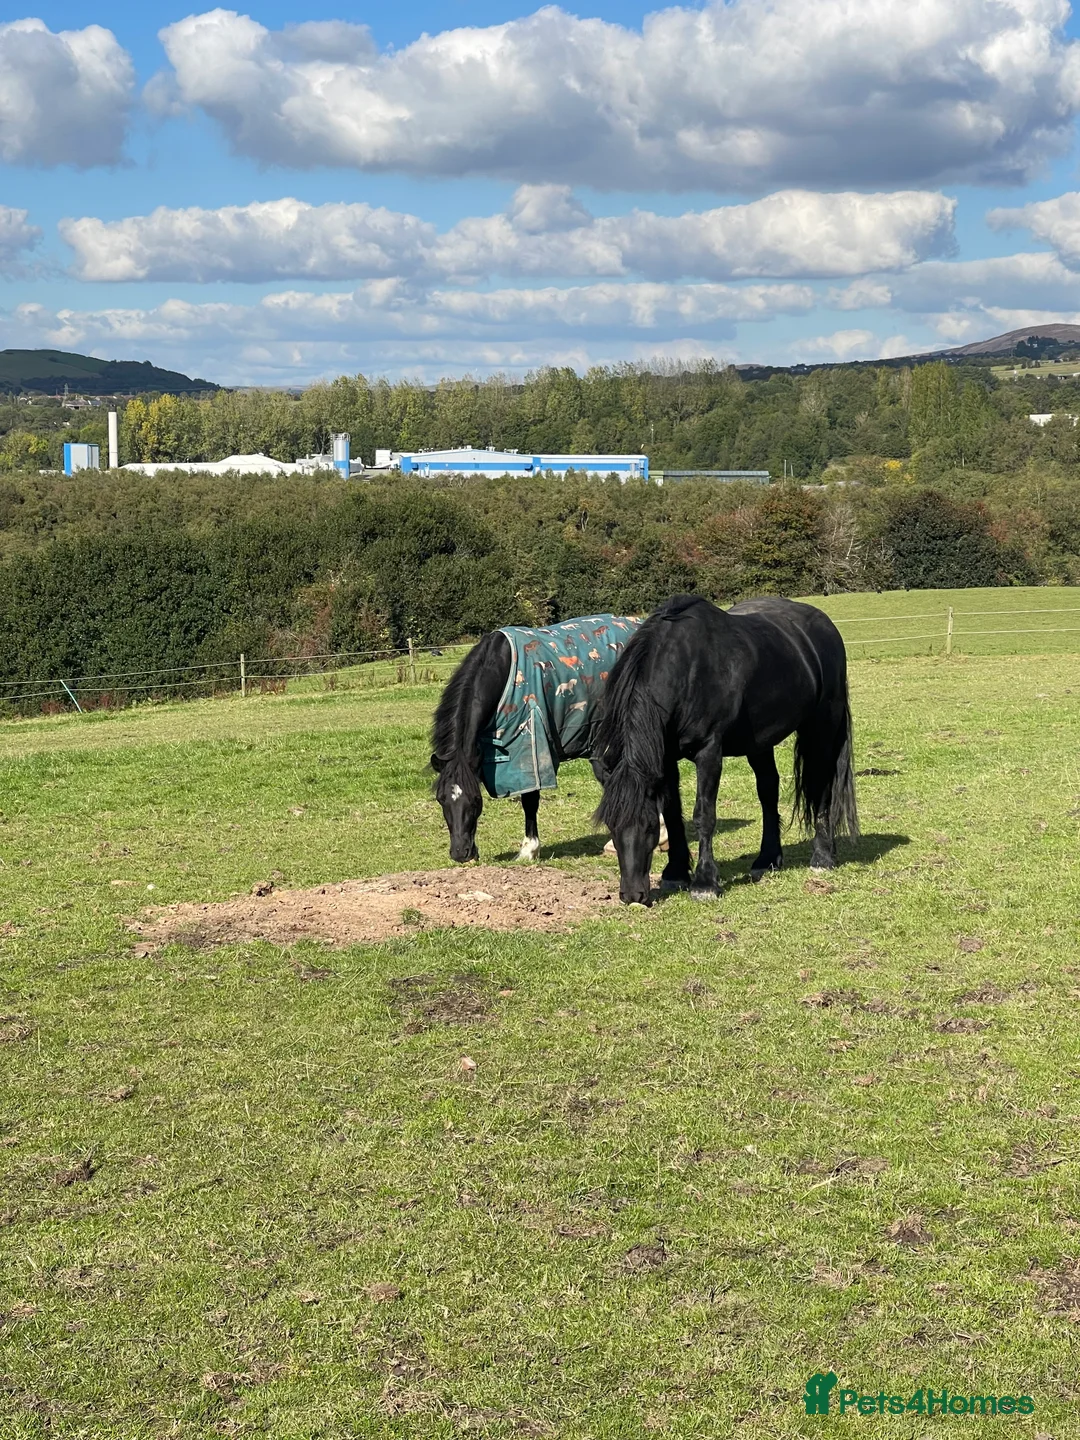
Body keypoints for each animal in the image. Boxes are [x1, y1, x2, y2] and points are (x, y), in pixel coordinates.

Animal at [430, 614, 665, 863]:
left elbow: (530, 799)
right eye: (441, 799)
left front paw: (528, 850)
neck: (502, 671)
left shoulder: (531, 744)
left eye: (476, 800)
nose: (460, 853)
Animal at [592, 594, 859, 905]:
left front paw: (705, 883)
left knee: (822, 786)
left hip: (821, 728)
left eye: (649, 826)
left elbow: (703, 815)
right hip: (760, 742)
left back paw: (823, 856)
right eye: (611, 826)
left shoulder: (709, 752)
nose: (632, 894)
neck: (685, 670)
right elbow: (672, 813)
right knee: (768, 790)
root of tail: (825, 625)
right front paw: (676, 873)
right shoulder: (666, 759)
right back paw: (767, 859)